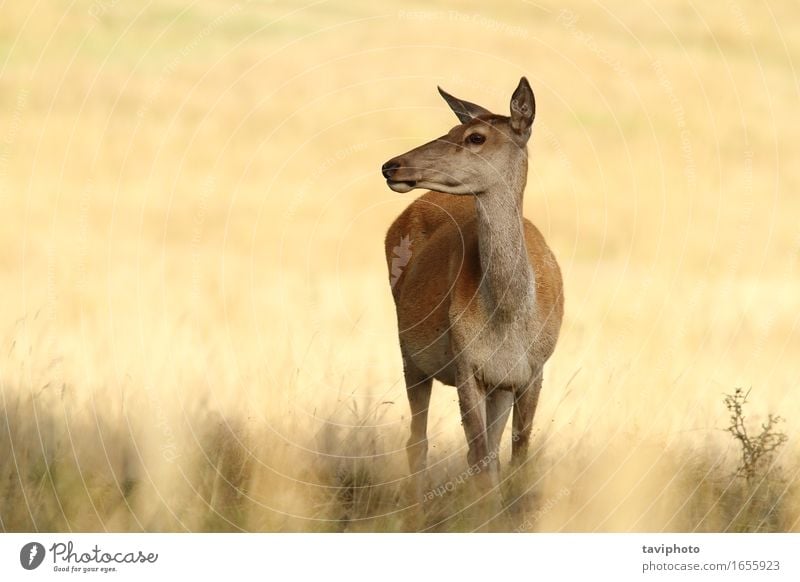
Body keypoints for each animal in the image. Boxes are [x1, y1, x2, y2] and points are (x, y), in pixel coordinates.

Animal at [382, 78, 564, 520]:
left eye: (475, 136)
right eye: (450, 130)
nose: (391, 166)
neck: (510, 318)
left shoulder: (532, 370)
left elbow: (514, 459)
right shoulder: (466, 363)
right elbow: (480, 460)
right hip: (410, 353)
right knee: (417, 441)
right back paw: (415, 516)